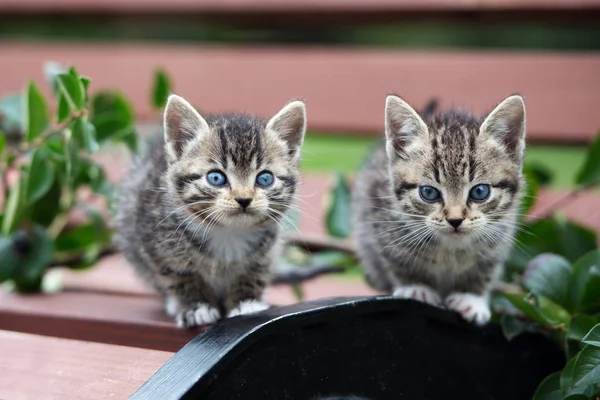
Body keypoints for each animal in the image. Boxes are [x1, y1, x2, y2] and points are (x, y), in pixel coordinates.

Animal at [115, 94, 308, 328]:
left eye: (265, 178)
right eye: (216, 178)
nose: (244, 199)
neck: (228, 233)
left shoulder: (266, 252)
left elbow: (253, 273)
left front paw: (246, 303)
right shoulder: (155, 243)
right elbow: (181, 276)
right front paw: (197, 306)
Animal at [354, 94, 528, 324]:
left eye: (480, 191)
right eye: (428, 192)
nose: (455, 220)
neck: (450, 249)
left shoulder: (501, 231)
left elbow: (486, 267)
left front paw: (471, 297)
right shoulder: (378, 216)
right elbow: (395, 258)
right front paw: (416, 287)